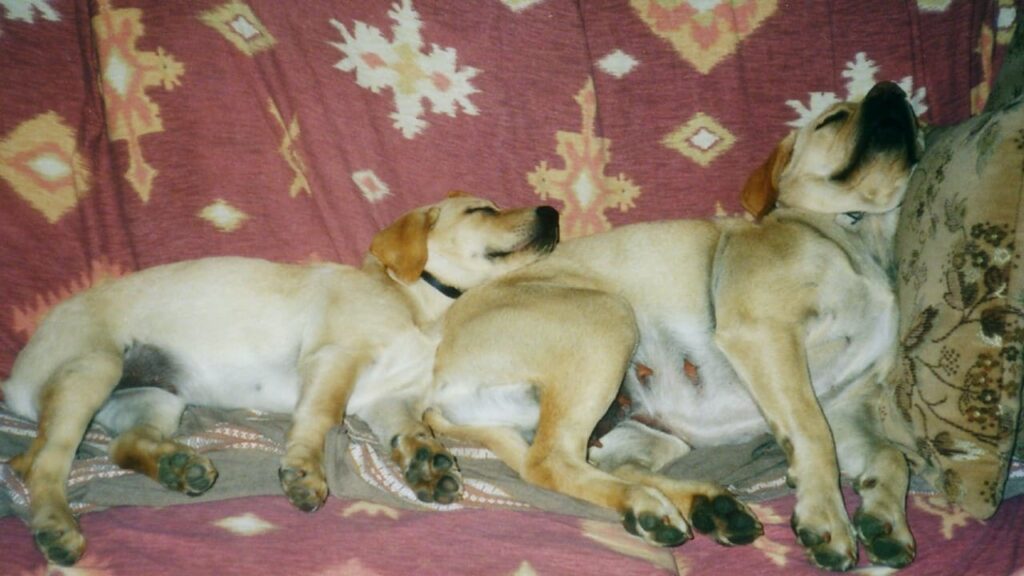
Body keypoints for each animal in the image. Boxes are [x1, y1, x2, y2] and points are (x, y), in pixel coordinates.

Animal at [415, 80, 921, 569]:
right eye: (832, 118)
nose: (892, 89)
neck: (856, 232)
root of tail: (441, 384)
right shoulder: (766, 334)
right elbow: (814, 434)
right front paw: (827, 520)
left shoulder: (849, 401)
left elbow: (889, 456)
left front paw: (885, 520)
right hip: (609, 322)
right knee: (549, 461)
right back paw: (656, 505)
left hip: (642, 432)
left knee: (604, 466)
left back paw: (701, 506)